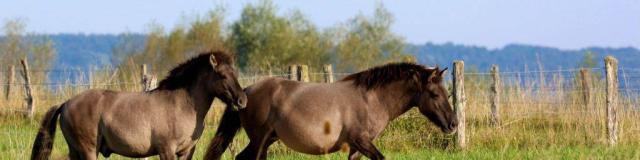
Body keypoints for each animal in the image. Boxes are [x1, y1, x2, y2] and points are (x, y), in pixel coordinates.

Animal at [31, 50, 249, 159]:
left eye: (235, 73)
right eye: (222, 75)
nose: (242, 100)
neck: (181, 104)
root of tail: (66, 103)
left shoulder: (186, 152)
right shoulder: (166, 150)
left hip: (76, 151)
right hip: (88, 151)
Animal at [205, 62, 460, 160]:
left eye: (447, 93)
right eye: (435, 94)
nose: (453, 124)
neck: (370, 99)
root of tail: (246, 91)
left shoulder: (357, 148)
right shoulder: (361, 141)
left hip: (267, 140)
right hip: (260, 140)